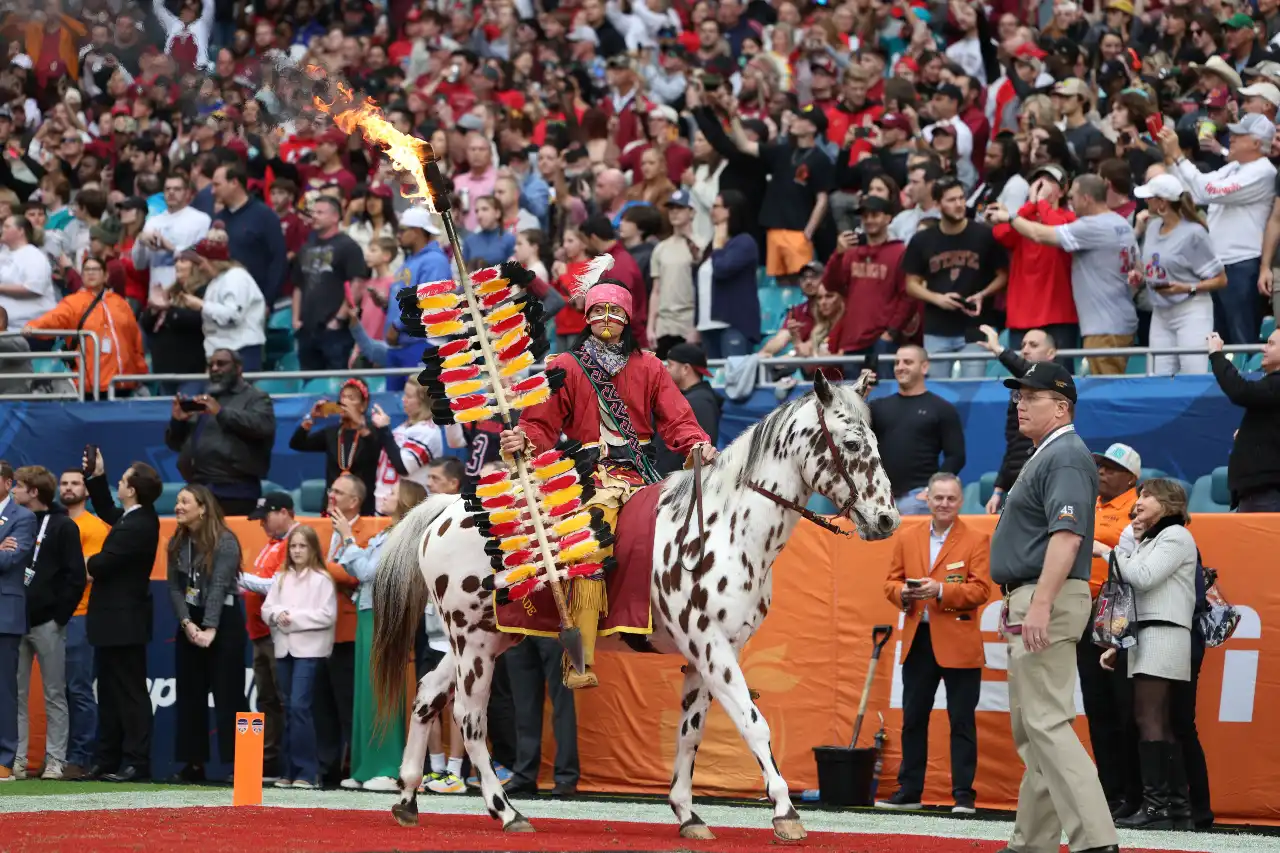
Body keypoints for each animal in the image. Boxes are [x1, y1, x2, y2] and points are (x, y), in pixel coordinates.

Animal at [371, 371, 901, 835]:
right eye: (853, 445)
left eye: (877, 443)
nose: (887, 520)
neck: (729, 528)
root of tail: (448, 507)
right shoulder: (711, 646)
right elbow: (753, 724)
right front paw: (786, 813)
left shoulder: (712, 653)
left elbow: (690, 733)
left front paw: (687, 813)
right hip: (474, 643)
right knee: (468, 718)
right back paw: (506, 812)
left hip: (487, 640)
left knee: (427, 695)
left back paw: (408, 797)